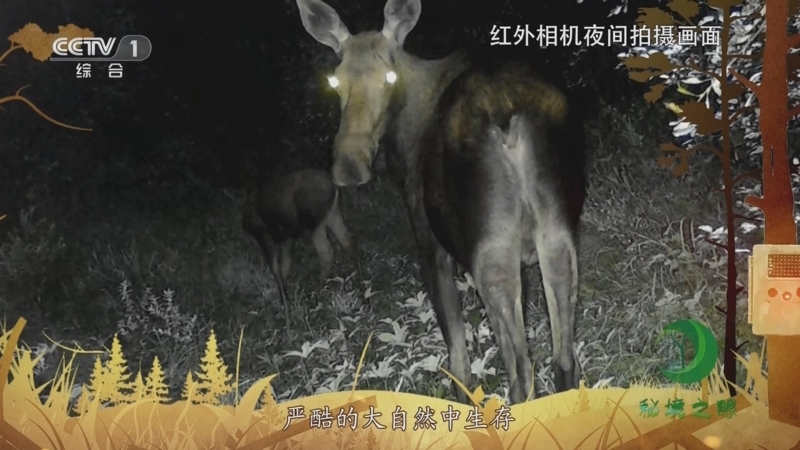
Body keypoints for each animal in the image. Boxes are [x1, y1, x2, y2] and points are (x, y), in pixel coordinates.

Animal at [242, 168, 361, 329]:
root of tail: (334, 187)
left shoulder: (268, 236)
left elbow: (276, 267)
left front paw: (283, 300)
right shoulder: (286, 237)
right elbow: (284, 265)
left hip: (314, 222)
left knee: (327, 252)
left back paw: (318, 288)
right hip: (333, 214)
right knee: (347, 241)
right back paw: (356, 275)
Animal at [296, 0, 588, 404]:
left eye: (389, 77)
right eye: (335, 80)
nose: (349, 165)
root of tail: (507, 120)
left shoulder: (430, 244)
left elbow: (458, 362)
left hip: (490, 253)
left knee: (521, 375)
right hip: (557, 236)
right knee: (564, 361)